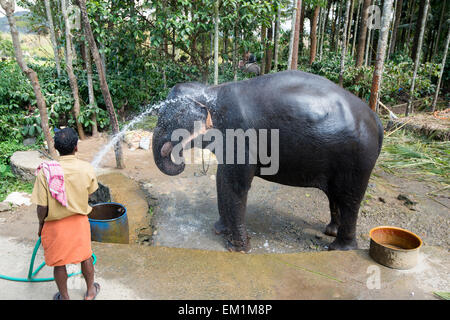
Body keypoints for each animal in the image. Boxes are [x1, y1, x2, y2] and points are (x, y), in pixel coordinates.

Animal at [152, 70, 384, 252]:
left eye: (172, 117)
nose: (178, 157)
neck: (211, 92)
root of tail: (376, 119)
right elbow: (222, 179)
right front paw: (219, 230)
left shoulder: (240, 136)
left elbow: (236, 185)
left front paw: (238, 248)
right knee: (336, 195)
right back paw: (330, 230)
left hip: (358, 158)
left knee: (350, 199)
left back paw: (339, 248)